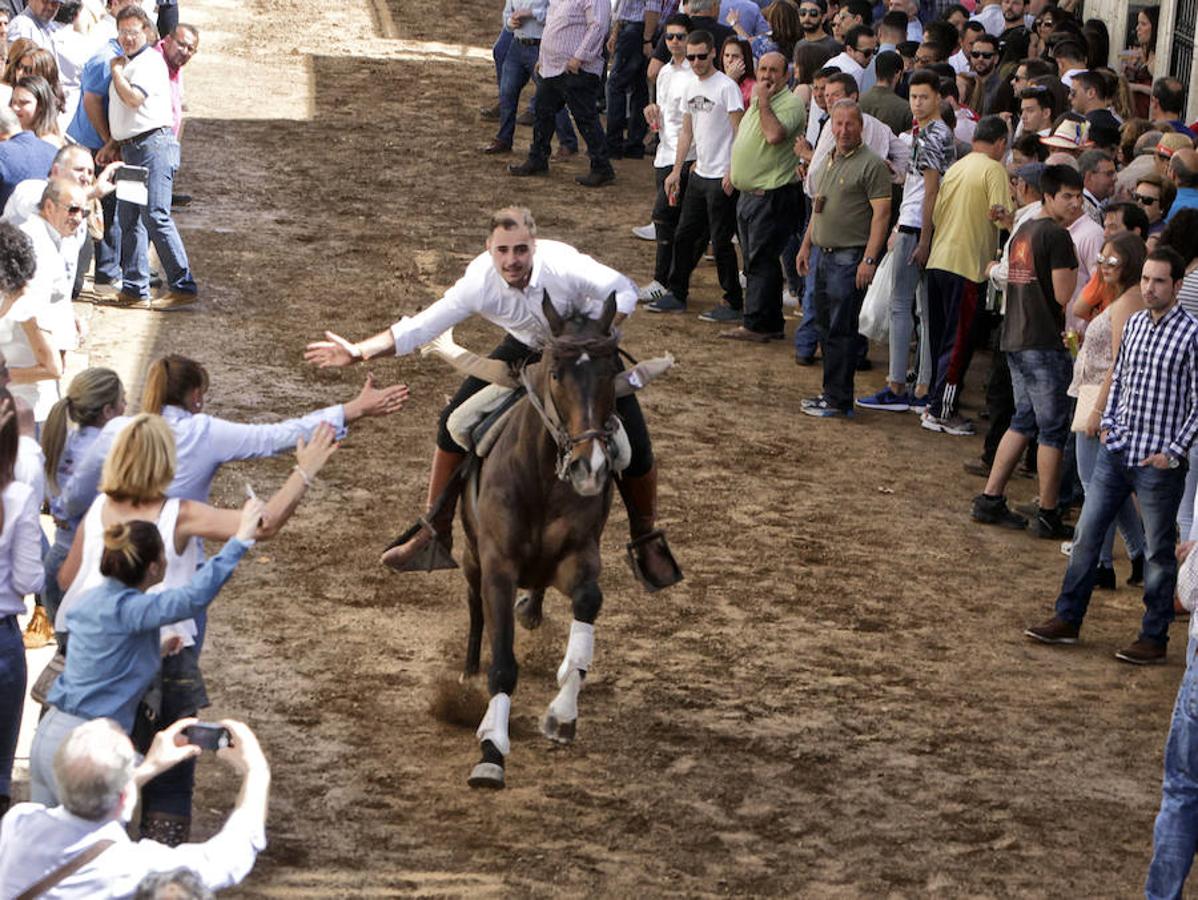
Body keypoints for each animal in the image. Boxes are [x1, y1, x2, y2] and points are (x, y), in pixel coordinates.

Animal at [460, 290, 622, 786]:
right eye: (555, 373)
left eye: (611, 372)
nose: (590, 467)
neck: (542, 480)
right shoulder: (497, 566)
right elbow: (502, 663)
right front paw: (491, 751)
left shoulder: (579, 556)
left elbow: (588, 602)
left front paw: (563, 713)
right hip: (470, 555)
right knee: (474, 604)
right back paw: (467, 671)